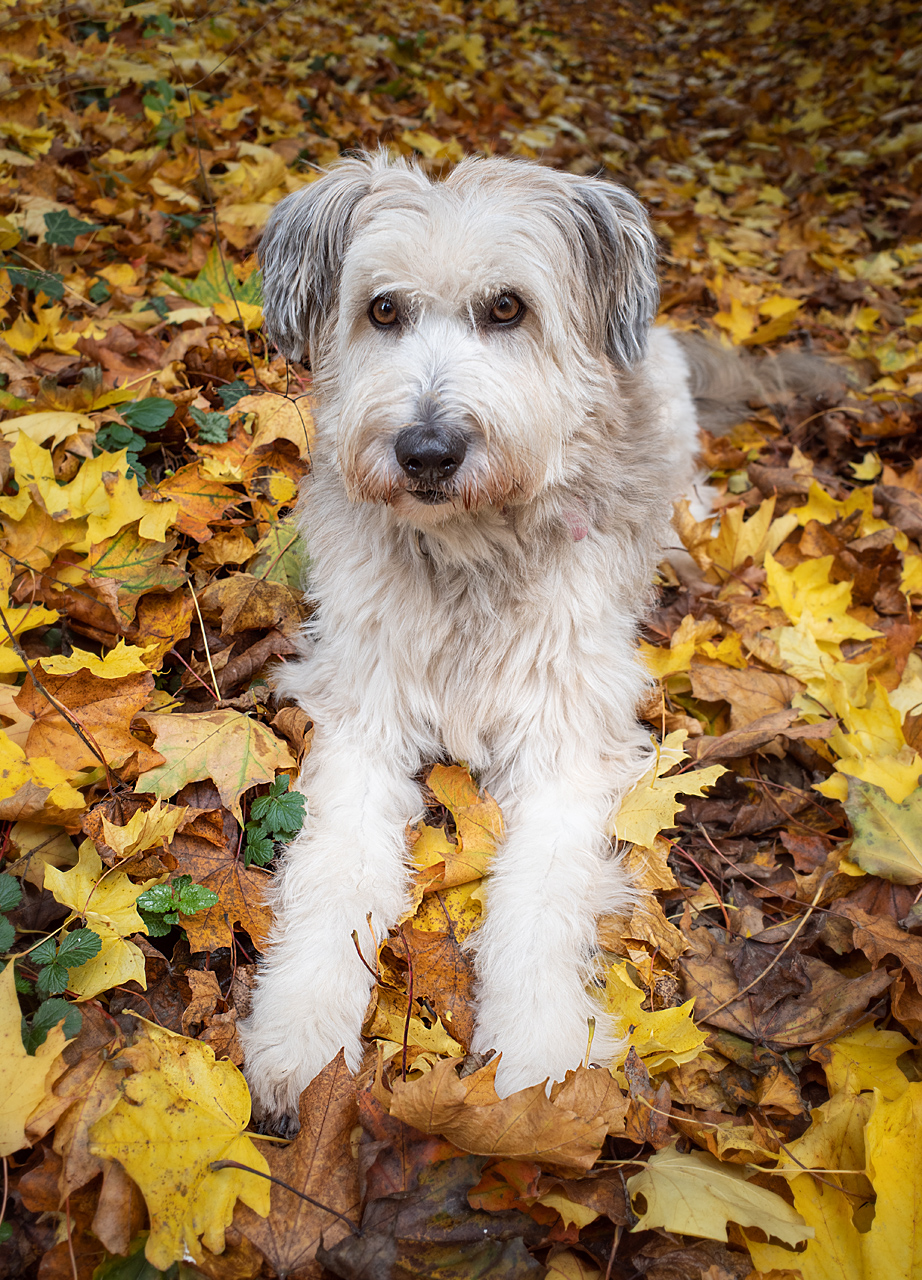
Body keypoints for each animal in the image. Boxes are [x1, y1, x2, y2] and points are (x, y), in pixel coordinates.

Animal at [235, 149, 819, 1121]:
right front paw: (303, 1033)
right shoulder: (363, 715)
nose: (427, 451)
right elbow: (334, 867)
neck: (470, 555)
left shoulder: (566, 735)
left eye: (507, 307)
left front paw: (542, 1061)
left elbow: (540, 898)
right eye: (382, 310)